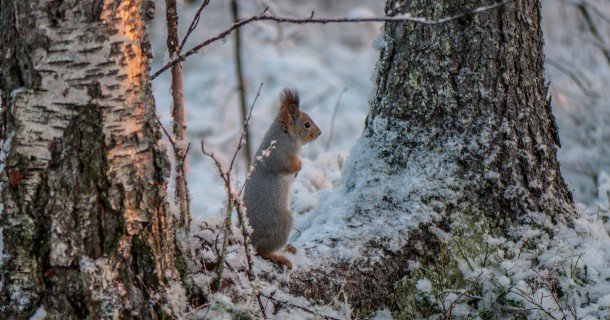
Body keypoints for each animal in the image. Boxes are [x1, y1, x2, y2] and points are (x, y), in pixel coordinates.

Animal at [241, 88, 320, 270]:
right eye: (307, 124)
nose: (319, 133)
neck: (286, 134)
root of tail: (251, 240)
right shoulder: (280, 153)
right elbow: (287, 166)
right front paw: (298, 166)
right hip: (282, 223)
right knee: (262, 251)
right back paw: (279, 257)